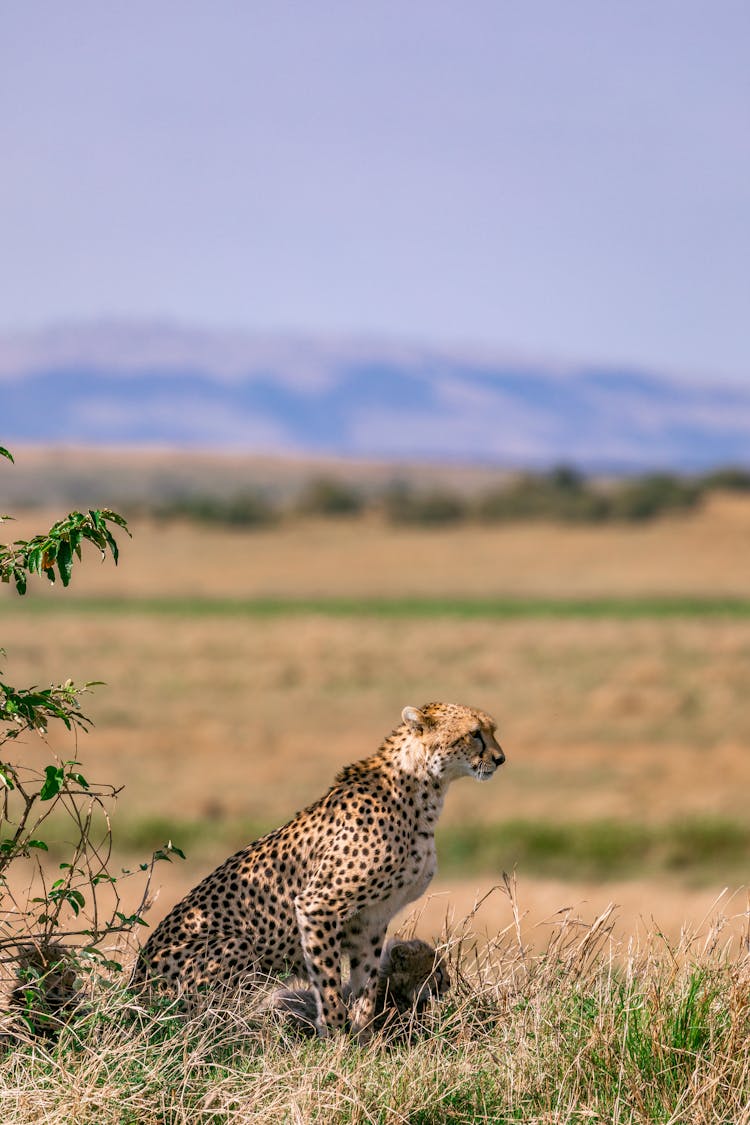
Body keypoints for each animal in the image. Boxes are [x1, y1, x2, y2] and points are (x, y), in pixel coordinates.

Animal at [133, 697, 503, 1039]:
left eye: (492, 731)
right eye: (474, 734)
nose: (500, 759)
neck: (422, 788)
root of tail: (134, 988)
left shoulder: (371, 917)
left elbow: (366, 982)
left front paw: (364, 1041)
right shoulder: (319, 904)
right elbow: (328, 982)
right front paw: (336, 1039)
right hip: (238, 946)